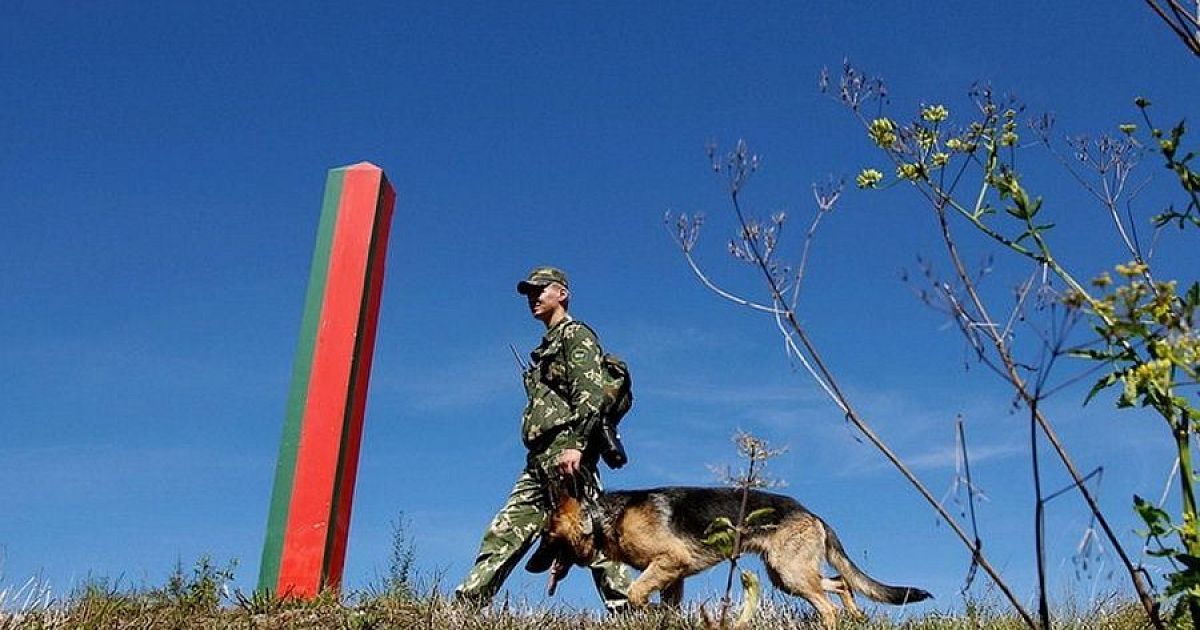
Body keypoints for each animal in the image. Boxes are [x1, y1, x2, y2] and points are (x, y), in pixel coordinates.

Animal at [540, 487, 931, 624]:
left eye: (545, 538)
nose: (531, 566)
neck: (600, 518)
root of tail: (813, 514)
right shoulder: (674, 578)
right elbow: (666, 606)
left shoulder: (670, 562)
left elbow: (636, 593)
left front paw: (645, 612)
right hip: (786, 575)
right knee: (840, 583)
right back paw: (857, 616)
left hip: (791, 575)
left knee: (828, 605)